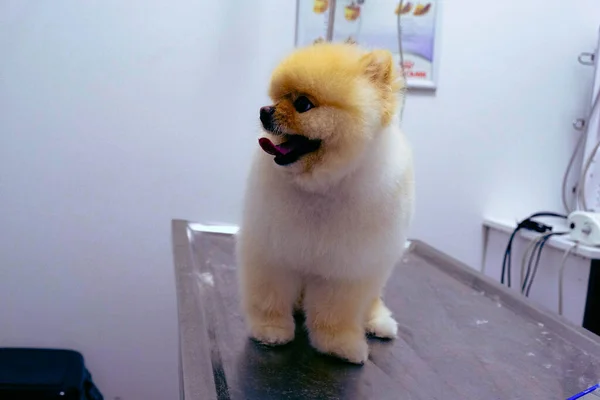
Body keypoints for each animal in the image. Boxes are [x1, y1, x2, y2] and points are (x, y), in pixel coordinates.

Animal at [237, 41, 414, 366]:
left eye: (303, 104)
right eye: (277, 98)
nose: (264, 111)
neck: (322, 187)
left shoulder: (346, 269)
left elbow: (336, 314)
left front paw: (338, 345)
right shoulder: (272, 251)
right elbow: (269, 297)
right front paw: (270, 330)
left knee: (371, 300)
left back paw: (378, 322)